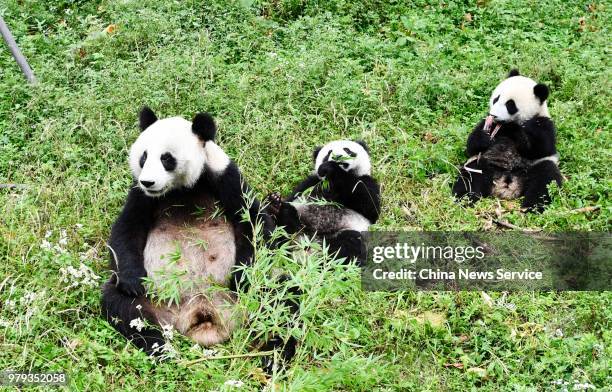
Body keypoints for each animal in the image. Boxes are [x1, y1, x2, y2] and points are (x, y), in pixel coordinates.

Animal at [102, 105, 296, 366]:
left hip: (250, 298)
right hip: (155, 300)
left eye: (166, 158)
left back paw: (274, 355)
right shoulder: (141, 195)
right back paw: (161, 348)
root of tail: (203, 316)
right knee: (122, 306)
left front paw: (242, 276)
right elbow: (127, 230)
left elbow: (255, 224)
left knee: (282, 299)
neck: (182, 189)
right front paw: (133, 282)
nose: (148, 181)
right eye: (144, 157)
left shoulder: (225, 177)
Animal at [452, 70, 560, 211]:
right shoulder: (487, 123)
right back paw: (464, 199)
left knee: (545, 179)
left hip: (532, 168)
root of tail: (505, 186)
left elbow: (542, 147)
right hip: (486, 162)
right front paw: (485, 137)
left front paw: (515, 130)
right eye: (496, 98)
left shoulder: (543, 123)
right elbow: (471, 146)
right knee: (471, 175)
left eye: (510, 105)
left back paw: (531, 207)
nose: (493, 115)